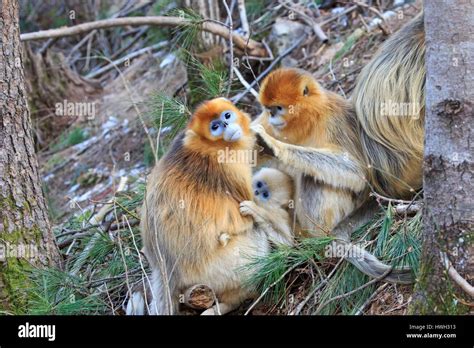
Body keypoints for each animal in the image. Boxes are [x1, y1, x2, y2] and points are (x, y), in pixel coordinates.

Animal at [252, 13, 426, 284]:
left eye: (277, 108)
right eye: (269, 109)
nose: (272, 117)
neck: (309, 121)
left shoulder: (333, 119)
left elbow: (356, 173)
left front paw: (275, 147)